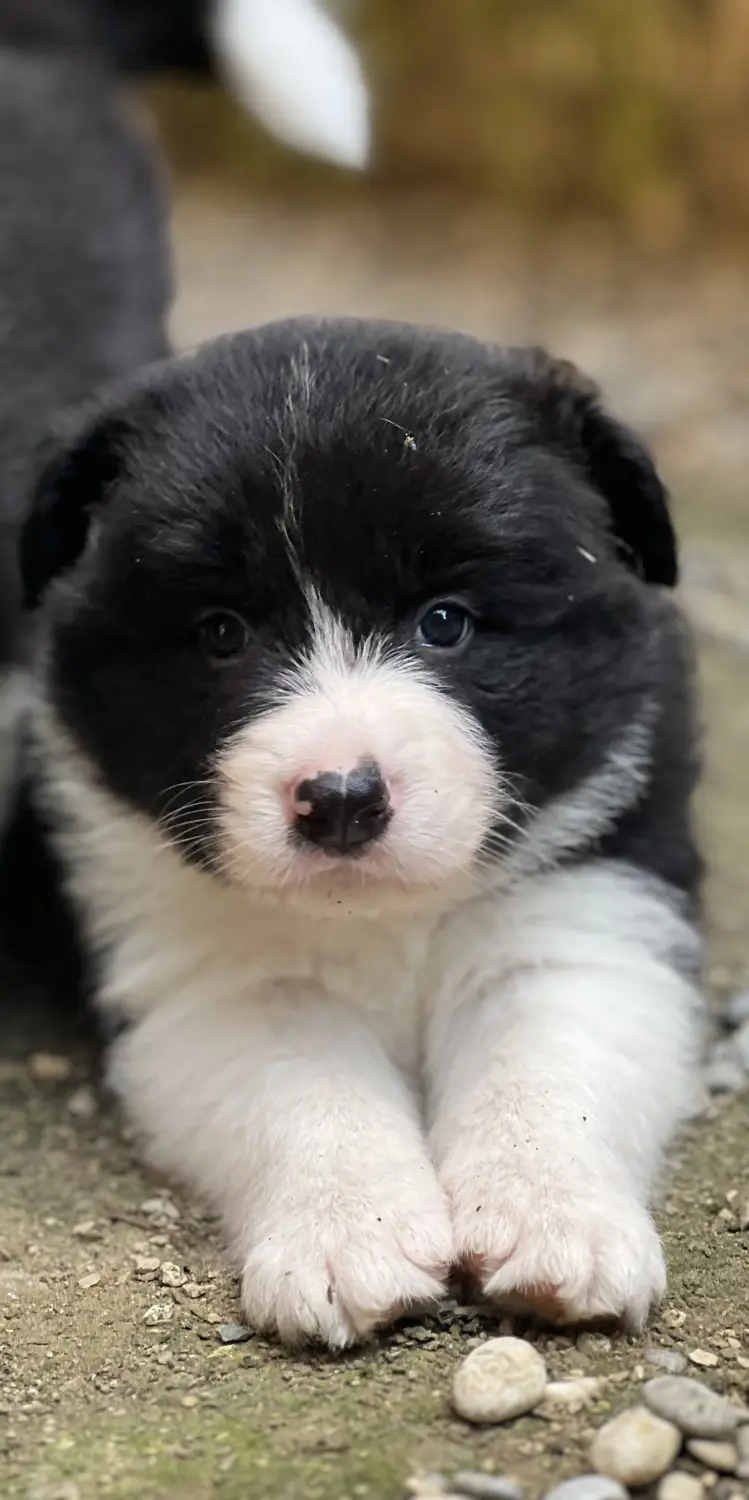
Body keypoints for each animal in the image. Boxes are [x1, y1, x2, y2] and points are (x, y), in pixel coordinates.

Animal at [20, 319, 705, 1350]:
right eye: (221, 633)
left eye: (445, 623)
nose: (340, 798)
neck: (380, 917)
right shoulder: (211, 978)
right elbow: (305, 1085)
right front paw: (350, 1235)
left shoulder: (586, 914)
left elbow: (545, 1064)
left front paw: (555, 1221)